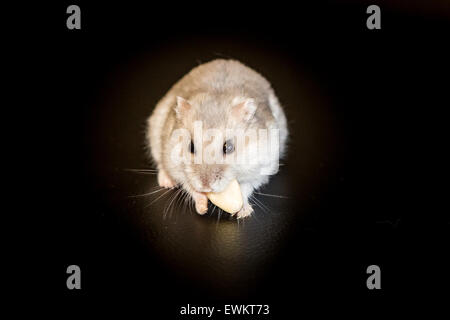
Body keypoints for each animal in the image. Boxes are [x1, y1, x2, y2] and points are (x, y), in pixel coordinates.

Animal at [147, 59, 288, 220]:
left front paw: (243, 213)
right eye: (191, 147)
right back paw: (167, 182)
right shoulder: (175, 165)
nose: (206, 186)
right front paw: (203, 208)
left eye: (228, 147)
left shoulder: (260, 168)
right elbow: (189, 186)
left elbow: (245, 188)